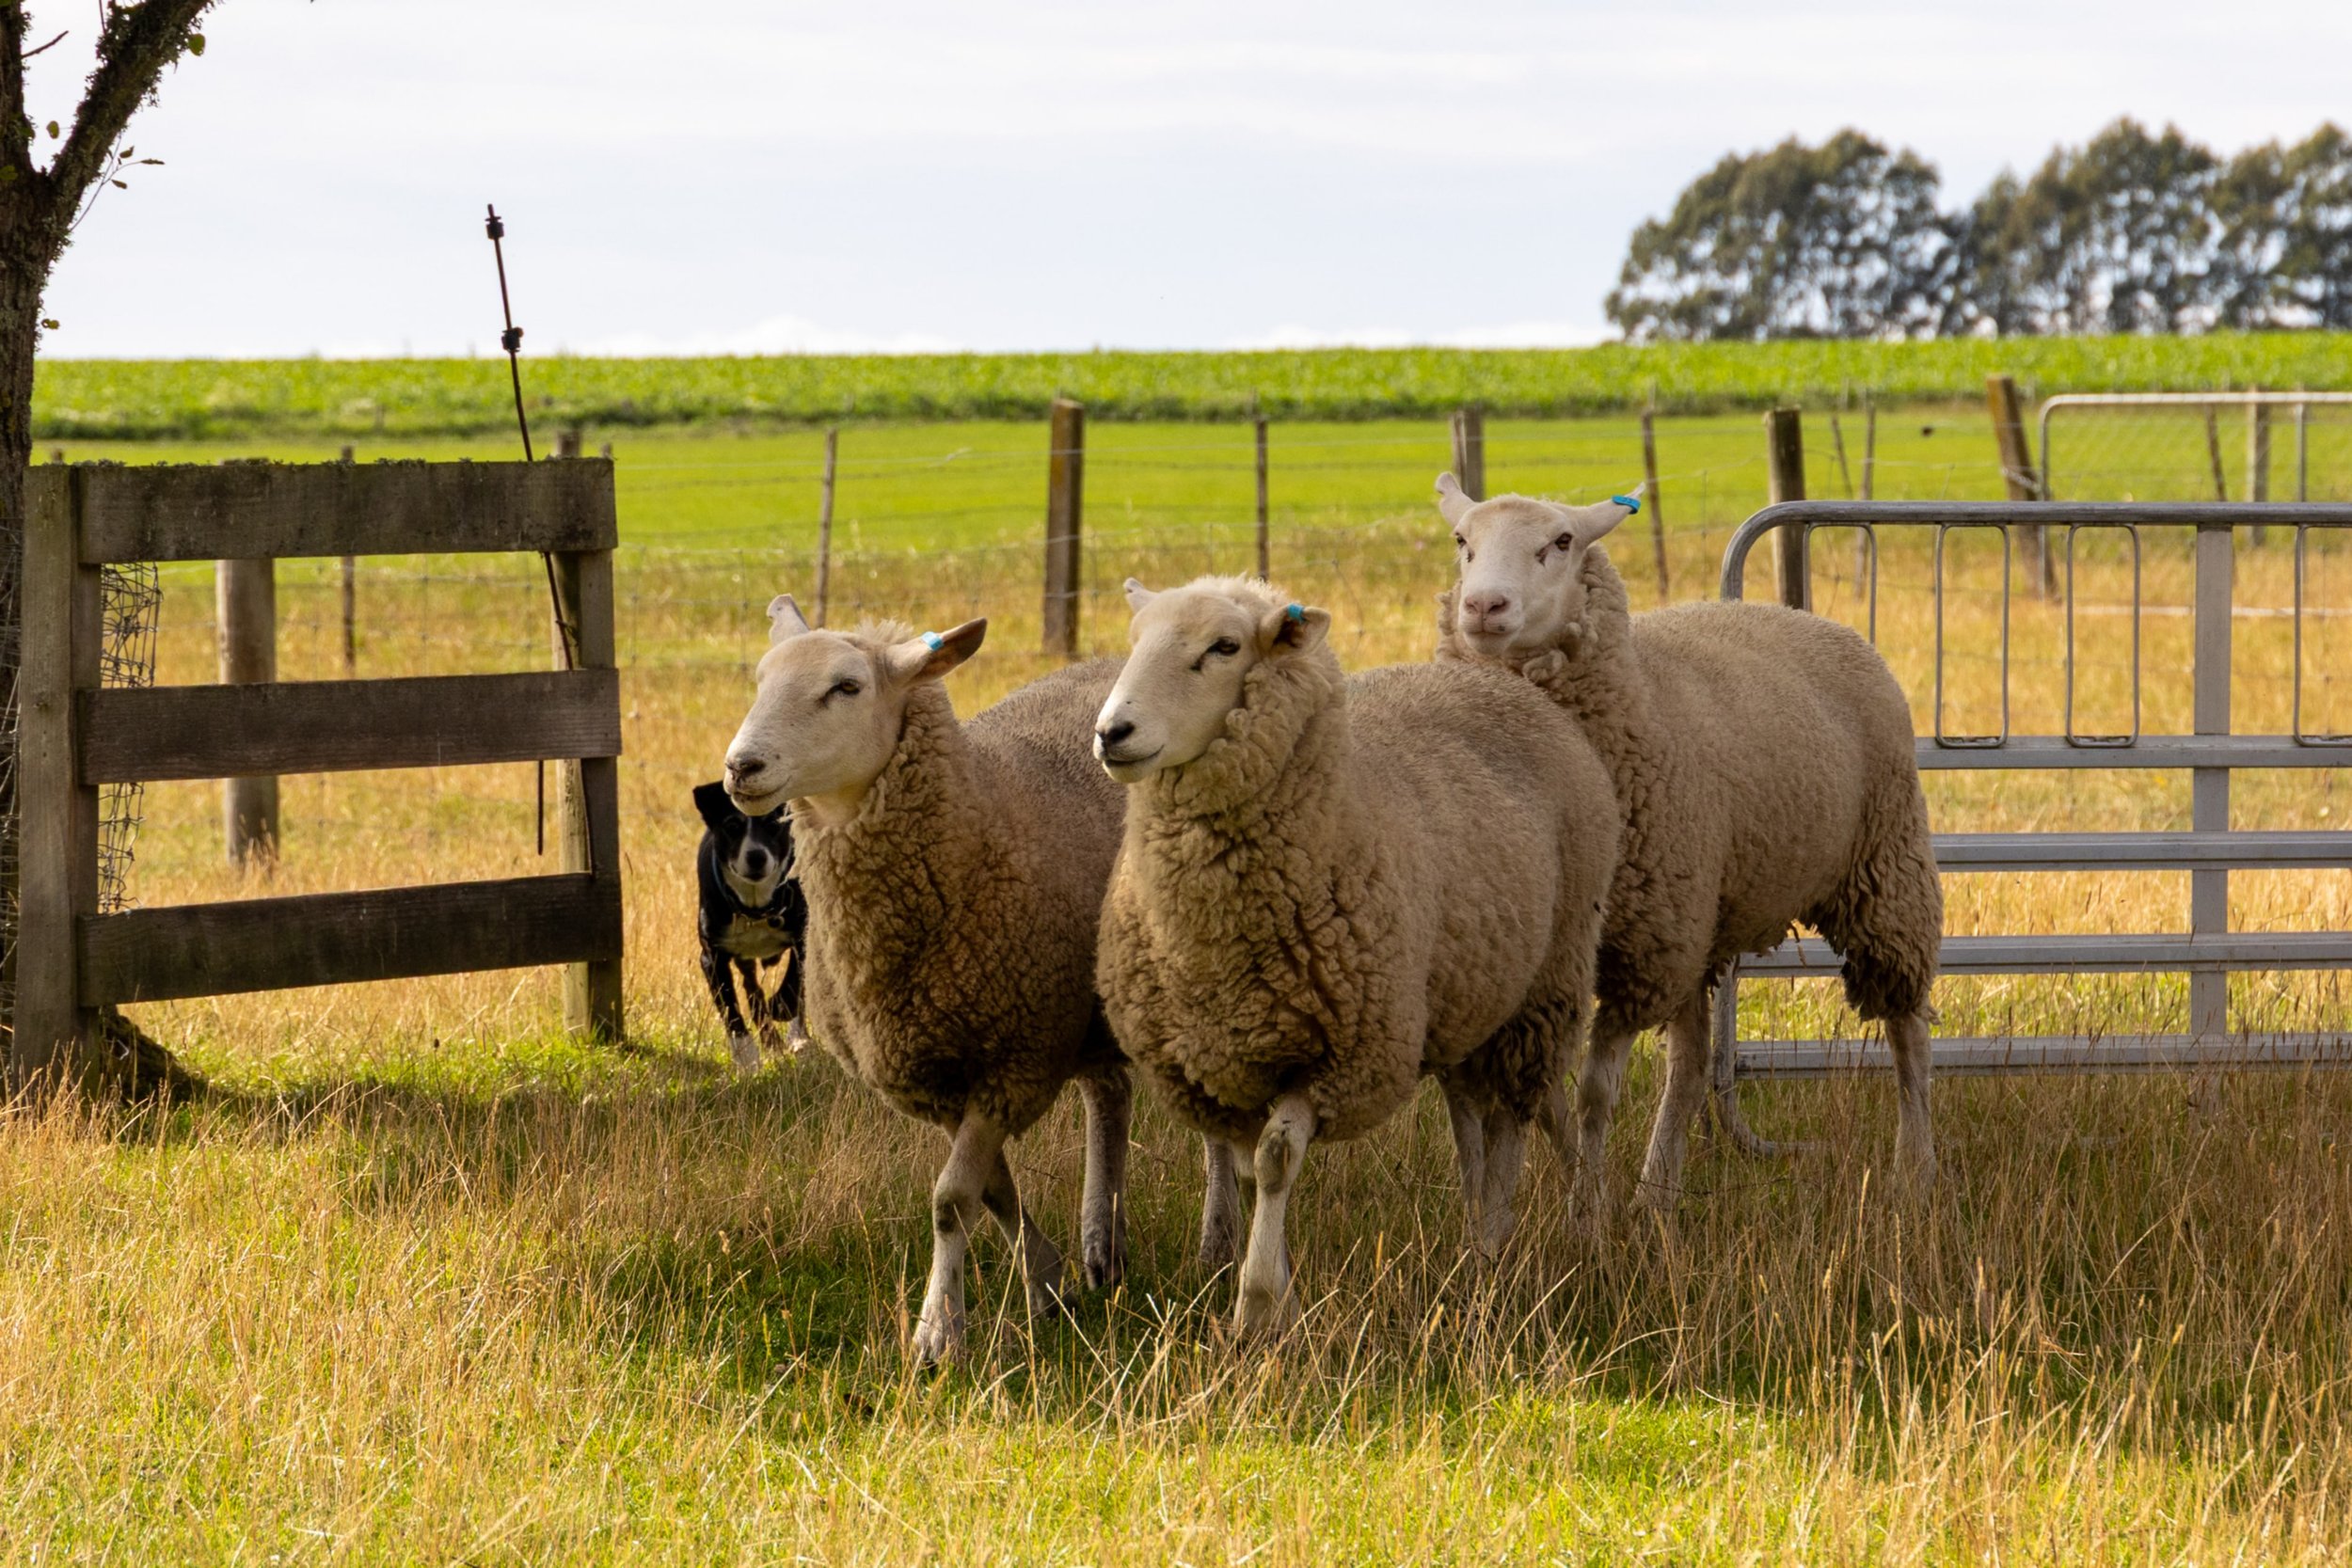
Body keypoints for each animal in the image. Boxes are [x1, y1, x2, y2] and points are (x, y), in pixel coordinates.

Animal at [723, 596, 1207, 1365]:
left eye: (846, 687)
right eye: (762, 680)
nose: (741, 766)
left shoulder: (1015, 1059)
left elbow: (952, 1199)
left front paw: (936, 1334)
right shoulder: (943, 1074)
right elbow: (994, 1192)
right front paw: (1048, 1286)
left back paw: (1217, 1249)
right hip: (1092, 1013)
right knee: (1110, 1098)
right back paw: (1103, 1250)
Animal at [1092, 575, 1619, 1335]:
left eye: (1224, 647)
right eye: (1134, 641)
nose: (1112, 733)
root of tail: (1499, 682)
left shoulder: (1342, 1054)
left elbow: (1276, 1158)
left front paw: (1256, 1308)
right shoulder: (1224, 1064)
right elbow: (1249, 1172)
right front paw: (1279, 1293)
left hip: (1548, 982)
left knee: (1515, 1121)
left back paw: (1507, 1245)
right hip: (1471, 994)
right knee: (1481, 1116)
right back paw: (1491, 1235)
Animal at [1431, 474, 1943, 1221]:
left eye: (1562, 541)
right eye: (1462, 541)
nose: (1483, 606)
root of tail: (1801, 615)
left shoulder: (1645, 947)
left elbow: (1595, 1095)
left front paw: (1588, 1212)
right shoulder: (1566, 955)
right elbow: (1555, 1097)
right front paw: (1573, 1188)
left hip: (1883, 867)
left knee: (1908, 1029)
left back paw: (1915, 1168)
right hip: (1706, 918)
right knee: (1695, 1063)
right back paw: (1658, 1191)